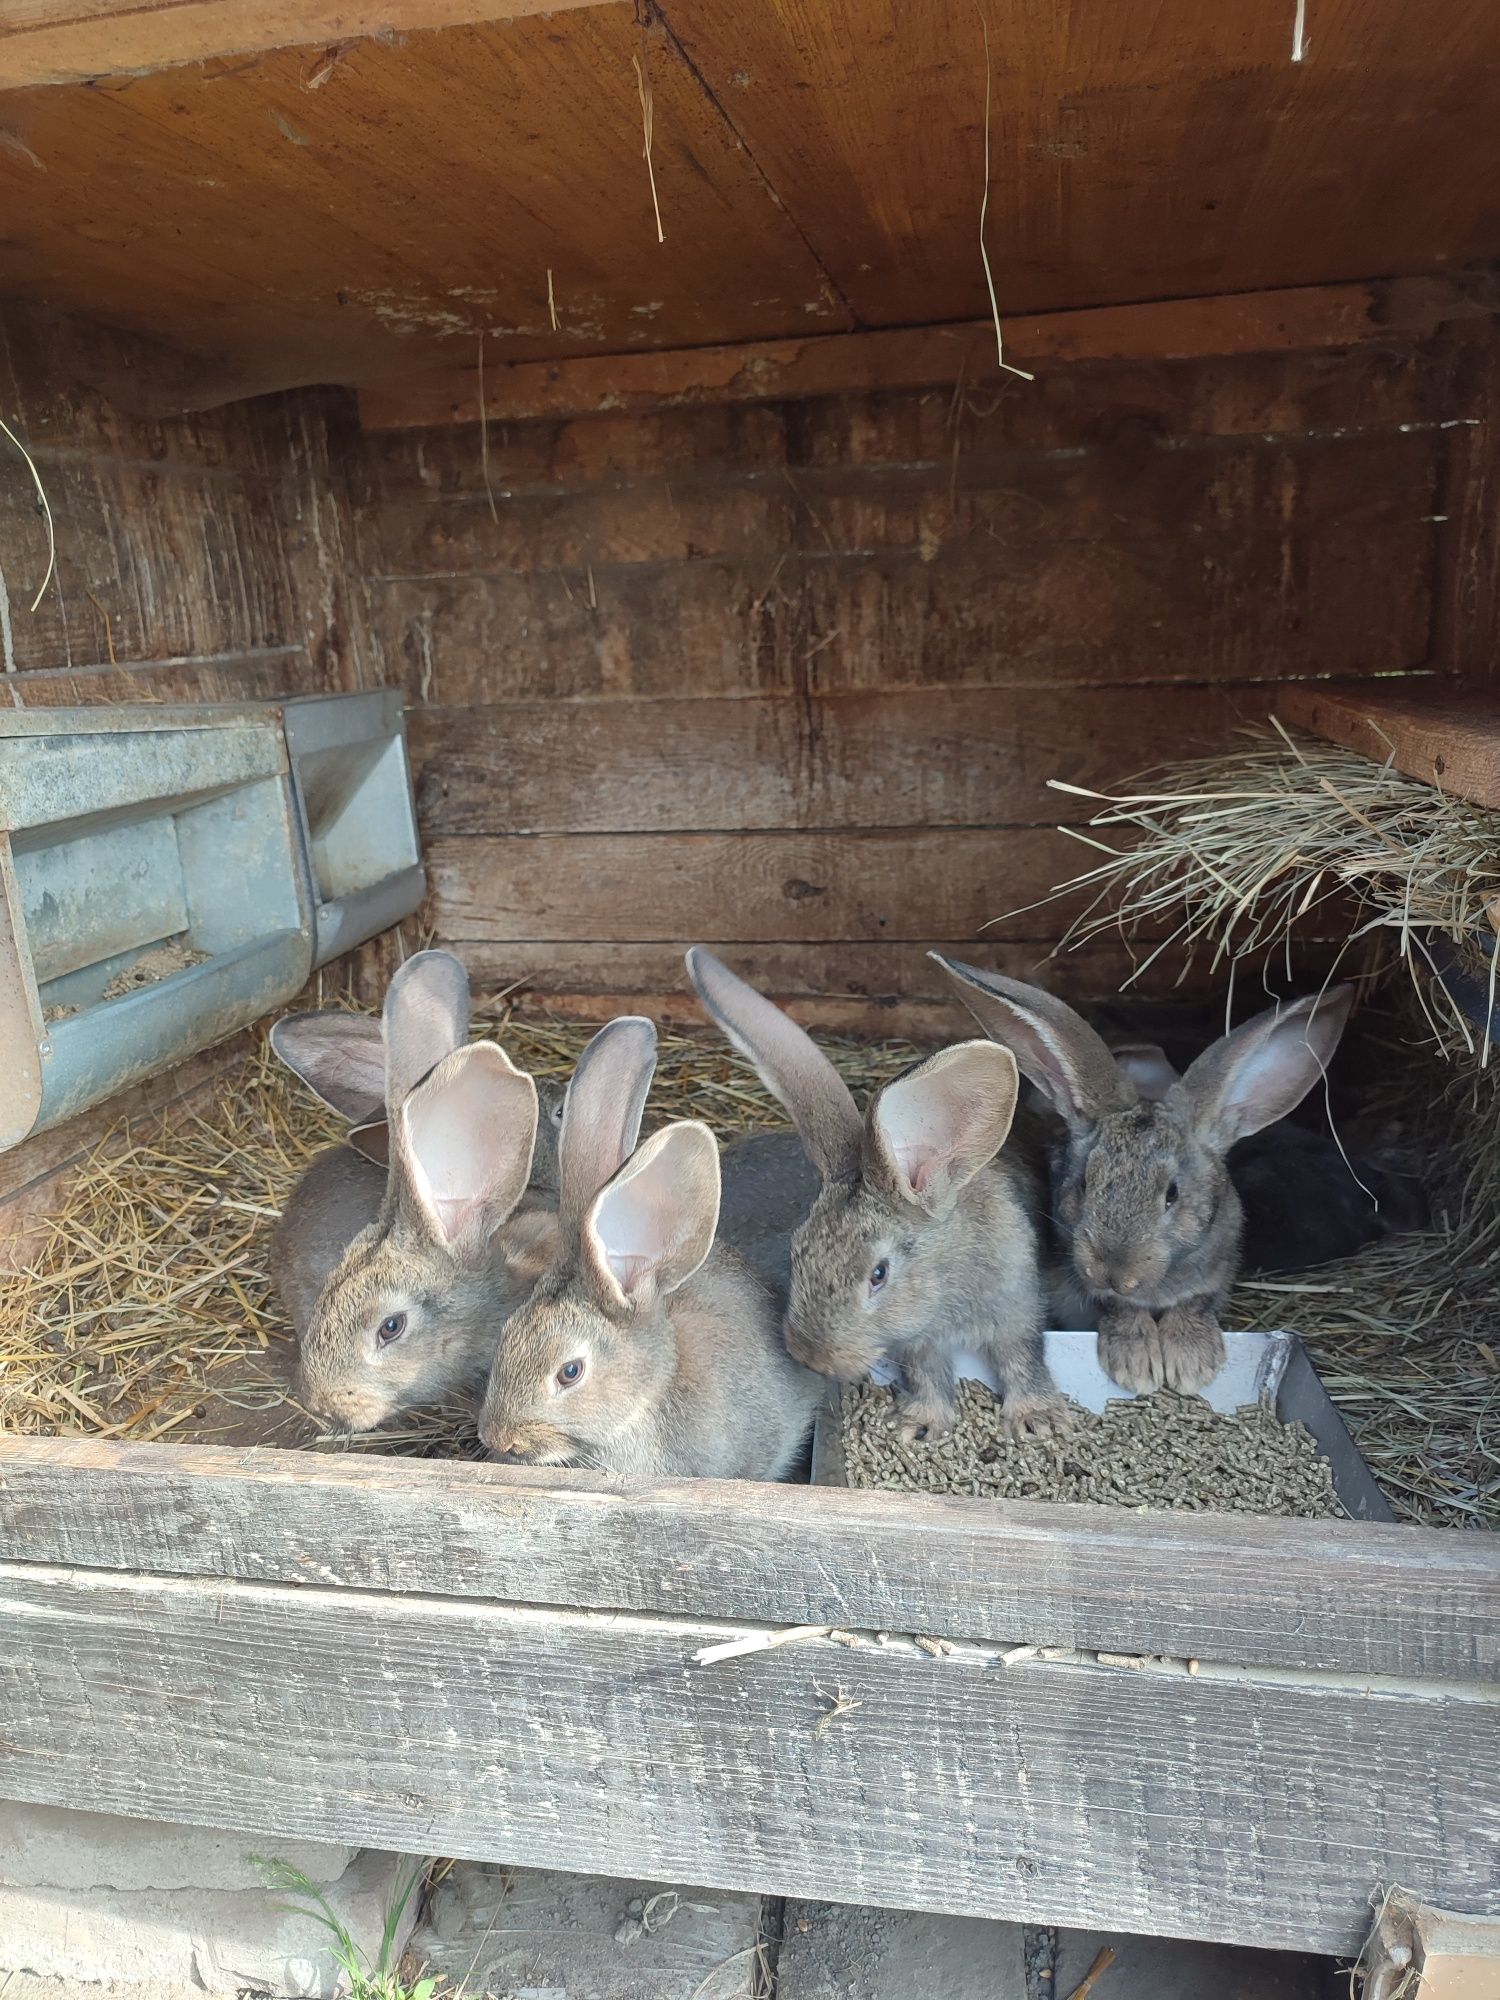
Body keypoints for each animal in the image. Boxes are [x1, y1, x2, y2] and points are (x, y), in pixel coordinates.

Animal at [688, 948, 1064, 1440]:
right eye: (796, 1251)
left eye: (878, 1274)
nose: (813, 1358)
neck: (945, 1278)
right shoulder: (921, 1342)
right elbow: (927, 1374)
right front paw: (920, 1425)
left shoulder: (1017, 1309)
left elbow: (1021, 1357)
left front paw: (1035, 1420)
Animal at [936, 960, 1360, 1400]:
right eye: (1085, 1183)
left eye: (1172, 1193)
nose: (1112, 1273)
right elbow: (1117, 1308)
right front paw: (1137, 1364)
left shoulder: (1217, 1273)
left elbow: (1195, 1303)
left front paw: (1191, 1362)